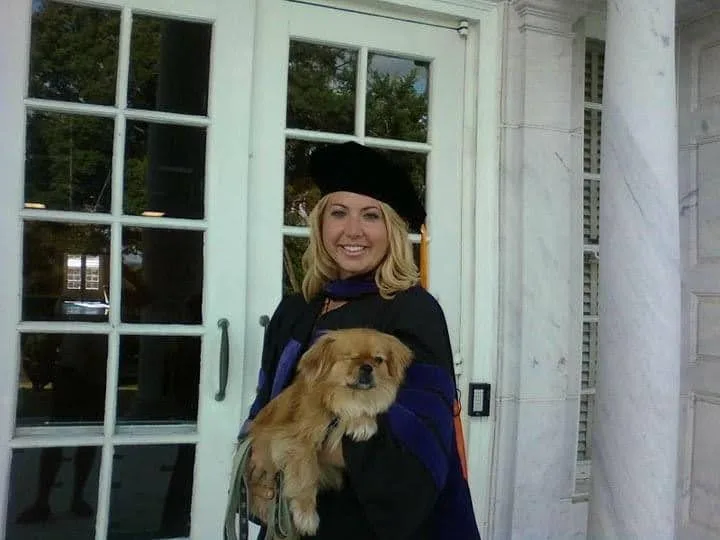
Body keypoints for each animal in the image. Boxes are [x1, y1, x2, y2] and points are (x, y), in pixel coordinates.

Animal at [246, 326, 410, 532]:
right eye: (351, 357)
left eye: (378, 360)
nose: (367, 367)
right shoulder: (296, 441)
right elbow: (307, 473)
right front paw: (305, 513)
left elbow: (364, 406)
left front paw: (362, 422)